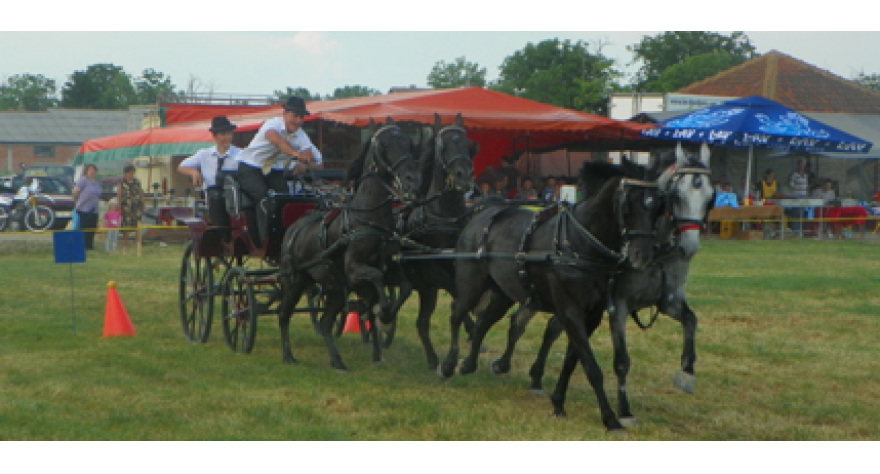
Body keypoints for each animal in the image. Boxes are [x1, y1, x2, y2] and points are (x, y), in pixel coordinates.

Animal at [278, 118, 422, 370]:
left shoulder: (391, 268)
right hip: (296, 281)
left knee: (325, 323)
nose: (412, 179)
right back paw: (288, 356)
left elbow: (404, 286)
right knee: (284, 314)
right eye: (384, 144)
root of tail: (294, 229)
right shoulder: (354, 270)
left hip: (335, 289)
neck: (368, 217)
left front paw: (384, 319)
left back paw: (337, 361)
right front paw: (381, 311)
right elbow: (376, 278)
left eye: (408, 142)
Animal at [440, 157, 668, 432]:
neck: (580, 244)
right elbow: (591, 366)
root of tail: (483, 212)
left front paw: (558, 402)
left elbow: (572, 360)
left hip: (503, 292)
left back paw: (469, 363)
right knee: (457, 312)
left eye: (658, 205)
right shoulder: (570, 311)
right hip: (471, 283)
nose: (642, 255)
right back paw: (448, 364)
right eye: (628, 203)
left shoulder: (591, 315)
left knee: (485, 321)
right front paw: (610, 418)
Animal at [488, 141, 716, 426]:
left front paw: (687, 372)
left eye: (711, 197)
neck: (657, 254)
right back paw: (502, 362)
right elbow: (621, 361)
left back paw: (534, 376)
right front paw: (623, 411)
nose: (689, 248)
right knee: (518, 322)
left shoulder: (668, 300)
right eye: (674, 196)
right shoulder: (617, 305)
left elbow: (690, 320)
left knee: (542, 326)